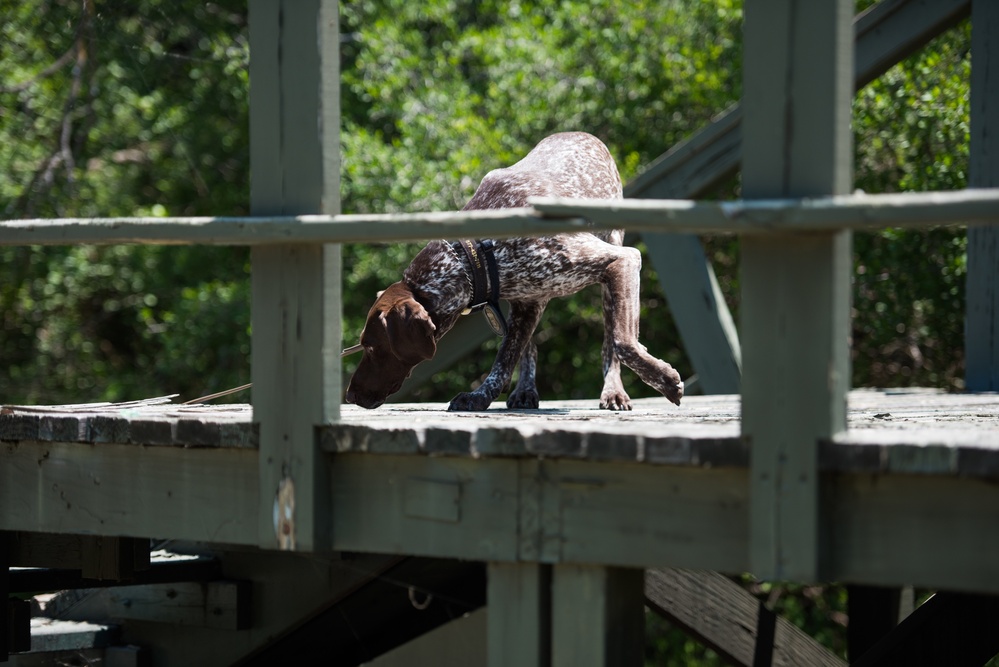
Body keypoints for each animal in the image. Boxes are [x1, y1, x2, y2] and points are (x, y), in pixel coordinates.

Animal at [348, 132, 684, 412]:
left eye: (373, 347)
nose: (350, 396)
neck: (475, 251)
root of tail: (583, 134)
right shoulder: (524, 302)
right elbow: (505, 359)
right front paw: (481, 395)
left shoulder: (622, 261)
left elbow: (622, 343)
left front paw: (665, 379)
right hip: (529, 303)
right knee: (529, 348)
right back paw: (525, 391)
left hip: (608, 268)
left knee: (609, 342)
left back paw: (613, 391)